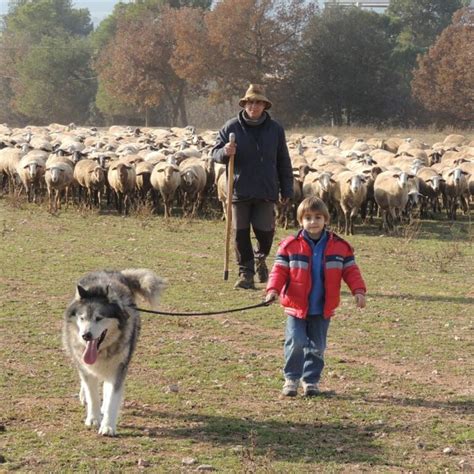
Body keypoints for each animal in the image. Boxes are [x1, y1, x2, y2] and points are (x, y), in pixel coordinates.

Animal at [63, 268, 166, 436]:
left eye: (99, 318)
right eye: (82, 318)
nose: (86, 335)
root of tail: (113, 271)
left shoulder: (118, 368)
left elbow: (112, 397)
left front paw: (107, 426)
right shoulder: (85, 364)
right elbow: (92, 394)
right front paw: (93, 418)